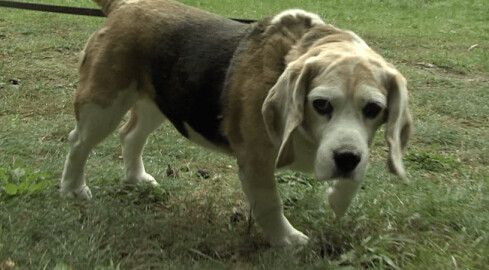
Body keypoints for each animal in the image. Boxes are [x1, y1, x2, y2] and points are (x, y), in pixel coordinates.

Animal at [61, 0, 412, 246]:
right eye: (321, 104)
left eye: (374, 109)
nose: (346, 159)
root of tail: (126, 6)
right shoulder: (255, 161)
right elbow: (270, 204)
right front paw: (287, 240)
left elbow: (354, 174)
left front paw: (337, 201)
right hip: (102, 105)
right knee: (78, 142)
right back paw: (74, 189)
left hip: (156, 104)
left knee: (130, 136)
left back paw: (136, 178)